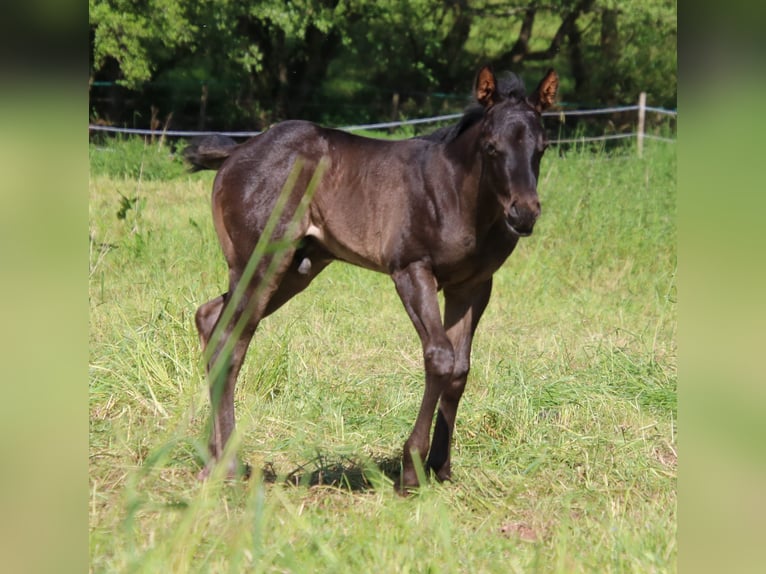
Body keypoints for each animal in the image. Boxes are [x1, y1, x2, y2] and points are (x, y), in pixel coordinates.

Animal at [186, 66, 560, 490]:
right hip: (261, 261)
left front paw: (441, 466)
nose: (524, 214)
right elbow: (440, 357)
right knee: (230, 341)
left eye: (542, 147)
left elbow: (460, 369)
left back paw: (212, 458)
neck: (458, 196)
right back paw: (228, 464)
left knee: (210, 318)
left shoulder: (473, 285)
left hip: (297, 268)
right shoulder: (411, 269)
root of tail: (237, 152)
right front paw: (412, 467)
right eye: (492, 146)